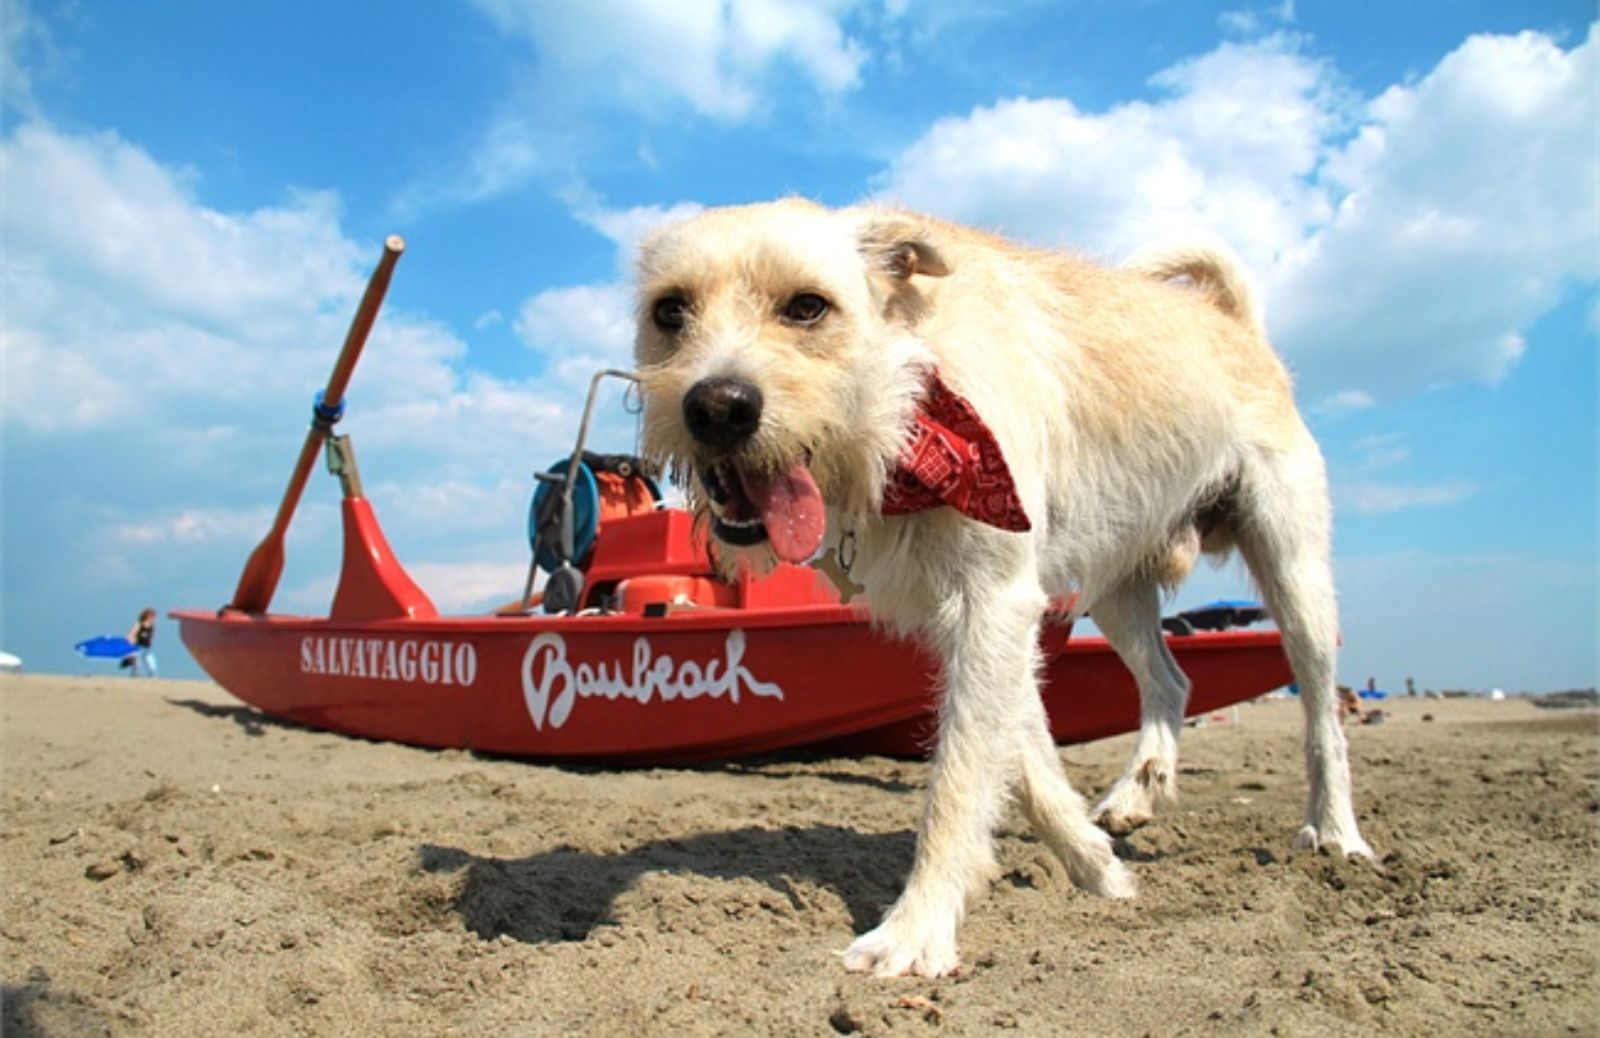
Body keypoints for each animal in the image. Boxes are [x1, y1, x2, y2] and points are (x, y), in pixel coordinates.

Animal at [624, 200, 1376, 978]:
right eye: (670, 311)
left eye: (808, 306)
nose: (717, 407)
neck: (907, 407)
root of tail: (1236, 324)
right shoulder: (982, 619)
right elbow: (1026, 759)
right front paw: (1095, 866)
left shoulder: (995, 603)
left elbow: (958, 779)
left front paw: (915, 929)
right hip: (1116, 586)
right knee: (1171, 681)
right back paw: (1136, 792)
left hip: (1293, 571)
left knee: (1322, 715)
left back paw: (1335, 833)